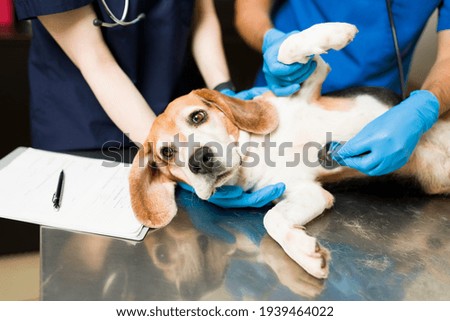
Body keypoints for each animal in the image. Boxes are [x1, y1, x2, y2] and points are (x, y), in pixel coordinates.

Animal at [128, 21, 450, 278]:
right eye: (166, 153)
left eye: (198, 116)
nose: (200, 160)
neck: (256, 153)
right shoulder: (307, 192)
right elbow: (272, 219)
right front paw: (306, 253)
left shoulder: (308, 85)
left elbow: (288, 49)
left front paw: (339, 31)